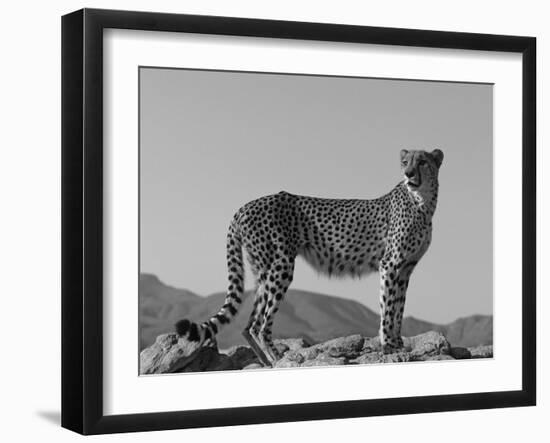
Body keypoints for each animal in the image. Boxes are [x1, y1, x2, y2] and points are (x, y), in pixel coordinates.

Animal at [177, 150, 444, 368]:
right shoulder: (390, 265)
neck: (422, 202)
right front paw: (388, 345)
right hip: (281, 265)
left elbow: (398, 307)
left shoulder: (405, 268)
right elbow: (388, 307)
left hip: (263, 270)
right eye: (405, 162)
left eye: (422, 161)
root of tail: (245, 206)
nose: (409, 174)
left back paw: (266, 362)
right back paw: (278, 359)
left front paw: (397, 343)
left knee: (248, 325)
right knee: (259, 325)